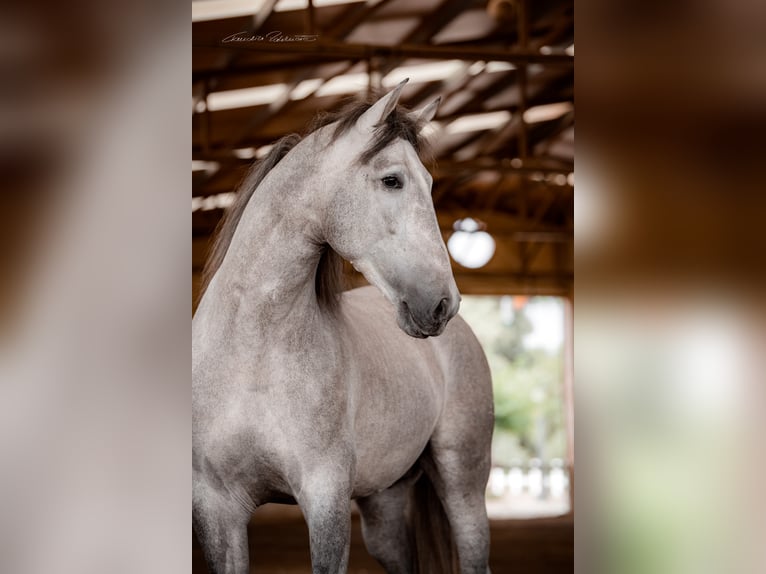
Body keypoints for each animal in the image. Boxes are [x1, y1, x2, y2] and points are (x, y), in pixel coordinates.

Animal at [192, 80, 494, 574]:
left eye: (430, 183)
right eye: (392, 180)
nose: (442, 304)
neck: (252, 353)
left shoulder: (325, 497)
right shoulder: (216, 507)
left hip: (463, 484)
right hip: (384, 504)